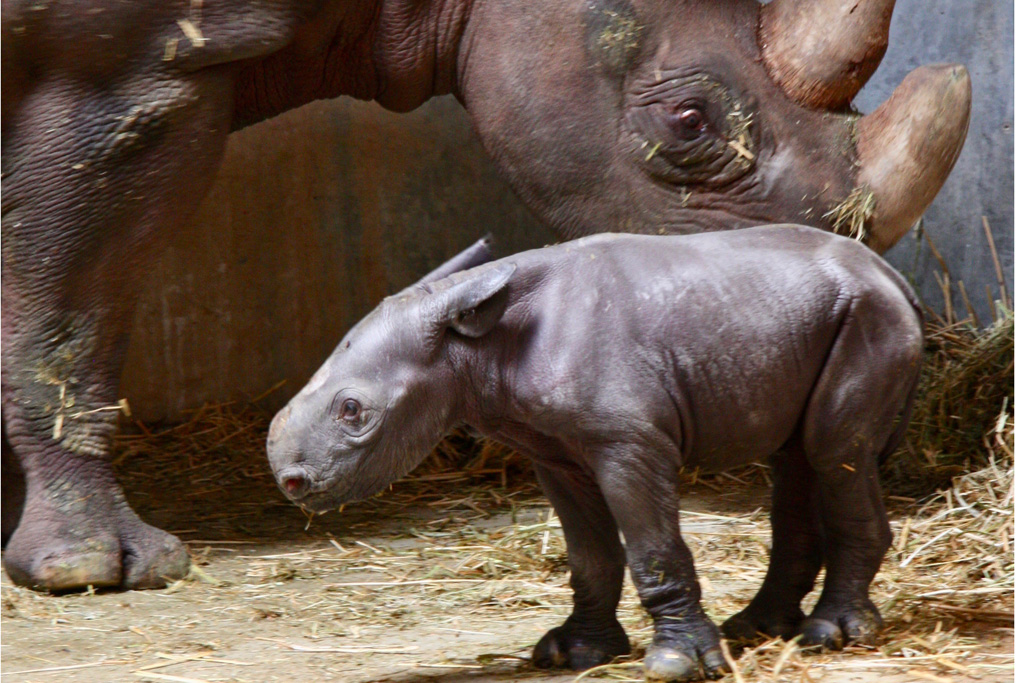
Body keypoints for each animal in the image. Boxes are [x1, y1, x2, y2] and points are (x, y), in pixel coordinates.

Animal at [270, 227, 921, 679]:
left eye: (352, 411)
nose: (290, 482)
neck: (476, 345)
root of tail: (892, 275)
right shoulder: (556, 453)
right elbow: (589, 555)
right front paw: (577, 652)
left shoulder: (627, 441)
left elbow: (654, 550)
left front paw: (675, 666)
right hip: (800, 316)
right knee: (797, 456)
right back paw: (757, 632)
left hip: (870, 316)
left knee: (835, 449)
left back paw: (830, 635)